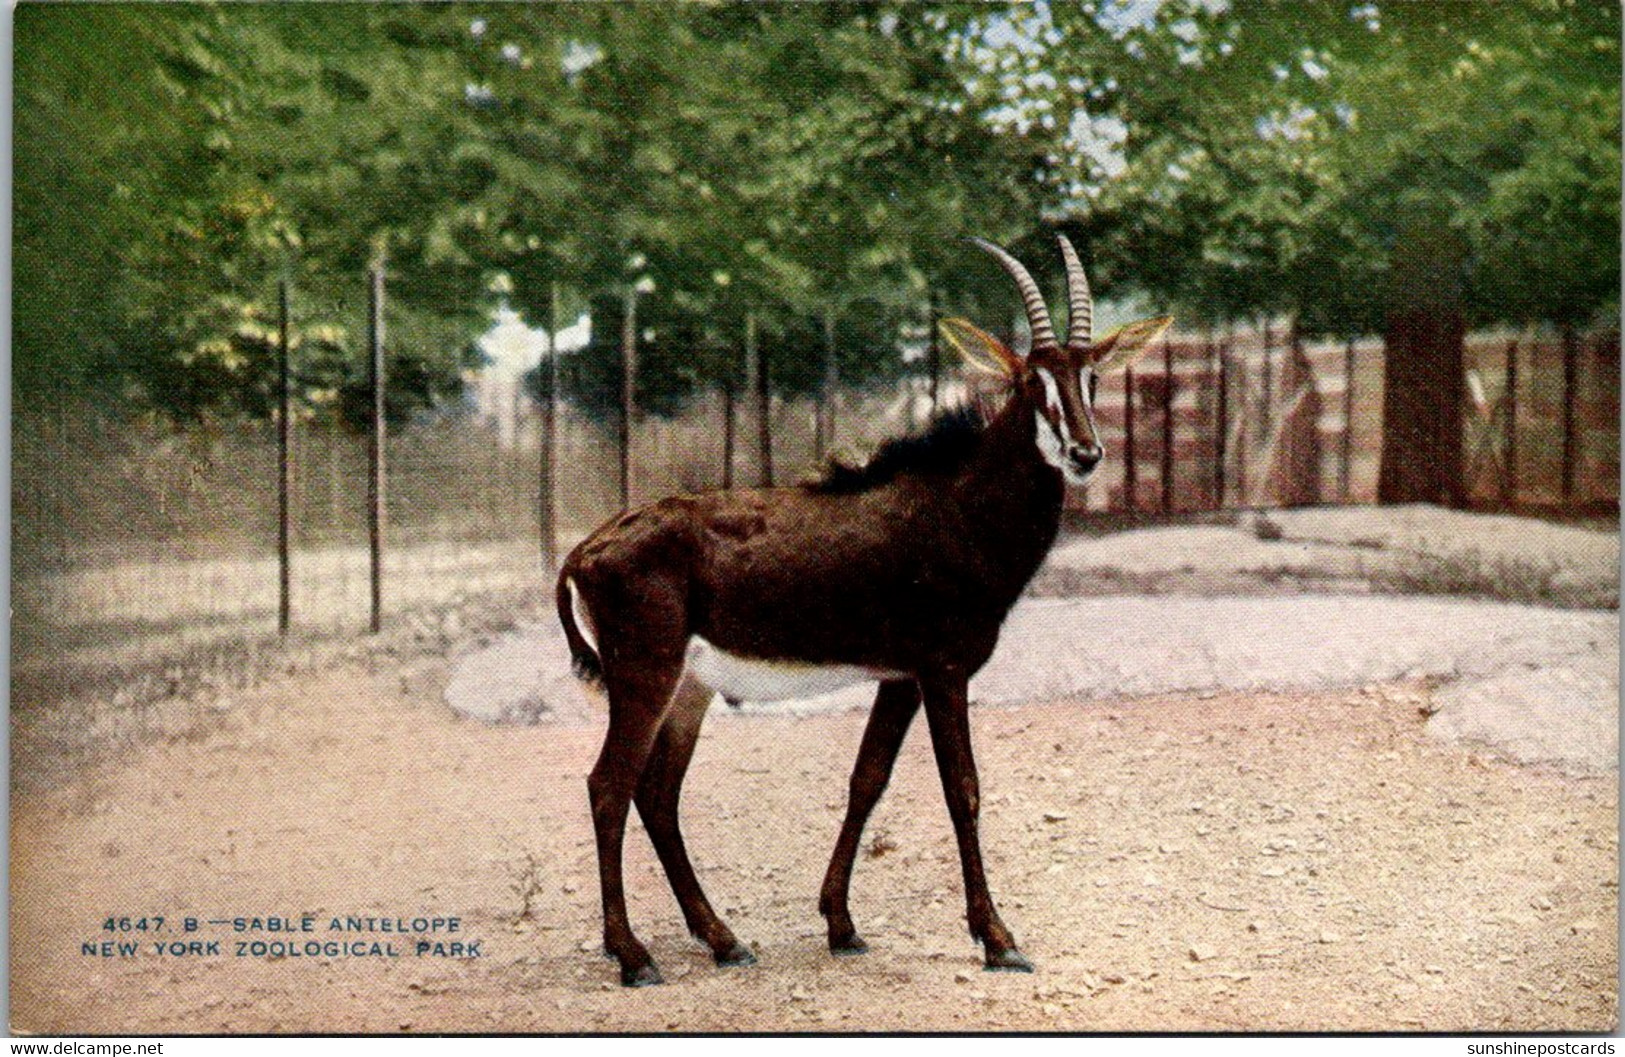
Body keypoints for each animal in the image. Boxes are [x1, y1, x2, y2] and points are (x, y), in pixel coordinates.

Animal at [555, 234, 1170, 982]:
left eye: (1091, 379)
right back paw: (634, 955)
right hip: (645, 675)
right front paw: (997, 937)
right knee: (608, 787)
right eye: (1031, 382)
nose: (1086, 453)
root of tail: (587, 549)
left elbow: (866, 780)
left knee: (656, 793)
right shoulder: (943, 671)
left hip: (688, 688)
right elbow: (962, 789)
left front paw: (841, 924)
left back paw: (724, 940)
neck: (956, 505)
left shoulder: (899, 677)